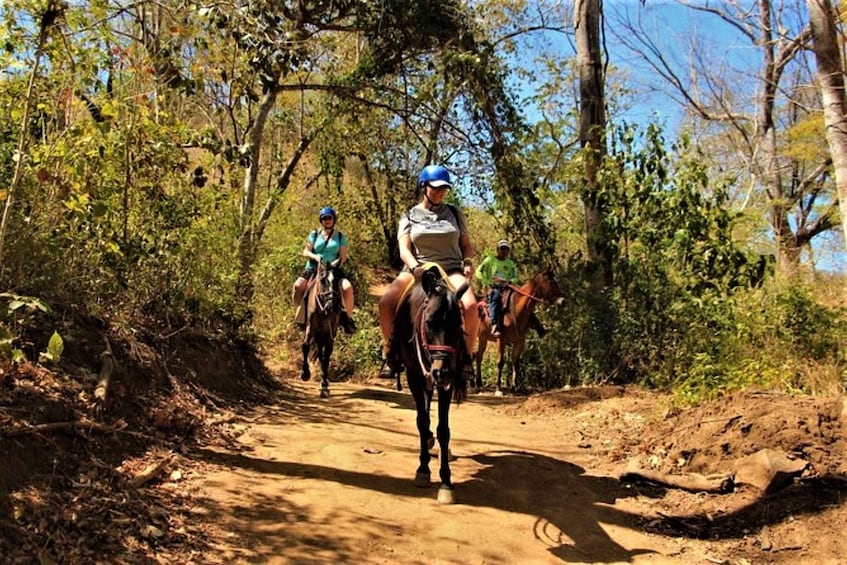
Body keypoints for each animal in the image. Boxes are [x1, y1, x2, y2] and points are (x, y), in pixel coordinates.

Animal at [302, 260, 342, 396]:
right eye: (323, 279)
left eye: (337, 280)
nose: (332, 306)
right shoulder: (311, 327)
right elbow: (305, 346)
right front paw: (305, 374)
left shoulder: (330, 331)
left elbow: (327, 354)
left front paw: (324, 384)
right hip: (318, 334)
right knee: (320, 353)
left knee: (324, 354)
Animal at [390, 264, 470, 506]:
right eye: (429, 322)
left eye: (457, 324)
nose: (440, 371)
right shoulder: (415, 376)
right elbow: (422, 421)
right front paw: (423, 470)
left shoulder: (447, 381)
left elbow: (443, 430)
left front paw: (446, 482)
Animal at [476, 266, 564, 394]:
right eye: (551, 282)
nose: (563, 301)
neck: (516, 309)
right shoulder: (501, 339)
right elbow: (500, 362)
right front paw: (498, 388)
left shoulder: (520, 341)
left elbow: (515, 362)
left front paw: (515, 387)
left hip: (483, 338)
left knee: (478, 356)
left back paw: (478, 384)